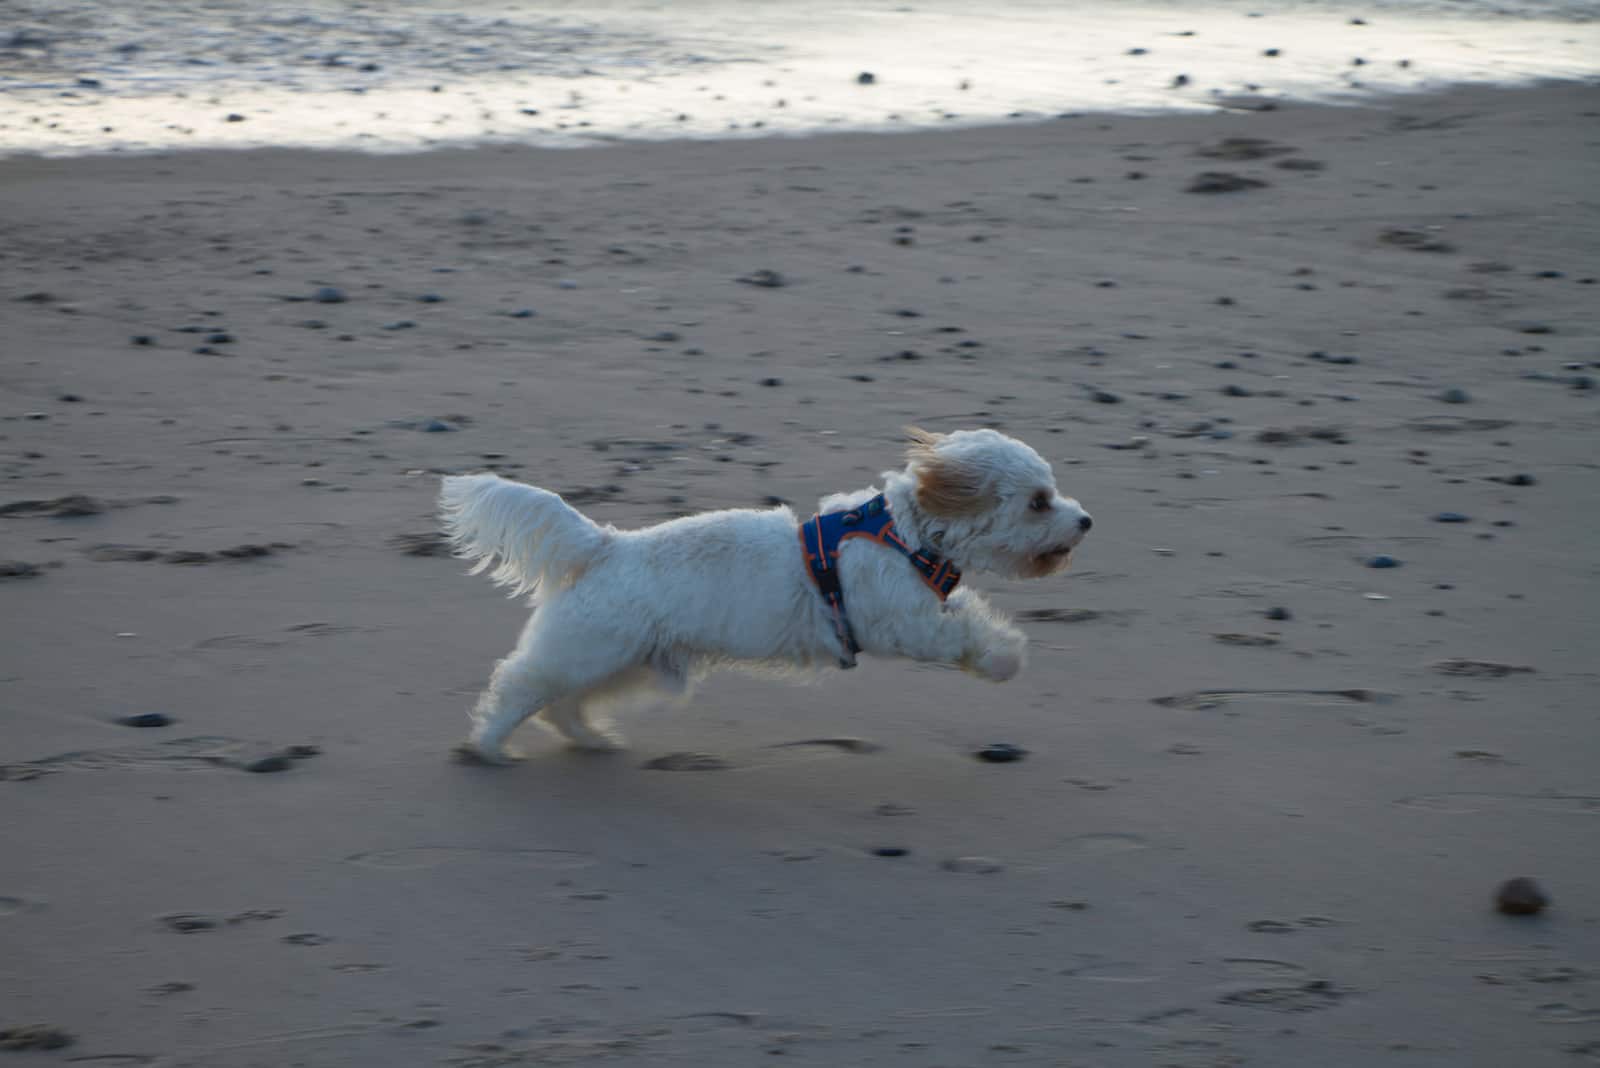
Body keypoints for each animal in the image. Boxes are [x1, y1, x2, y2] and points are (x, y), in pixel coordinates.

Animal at [438, 425, 1088, 757]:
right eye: (1038, 502)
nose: (1085, 521)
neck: (904, 531)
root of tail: (607, 545)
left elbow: (967, 614)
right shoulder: (903, 620)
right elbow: (964, 634)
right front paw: (1004, 659)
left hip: (627, 661)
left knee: (564, 704)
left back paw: (593, 739)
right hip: (587, 650)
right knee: (521, 683)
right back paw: (487, 746)